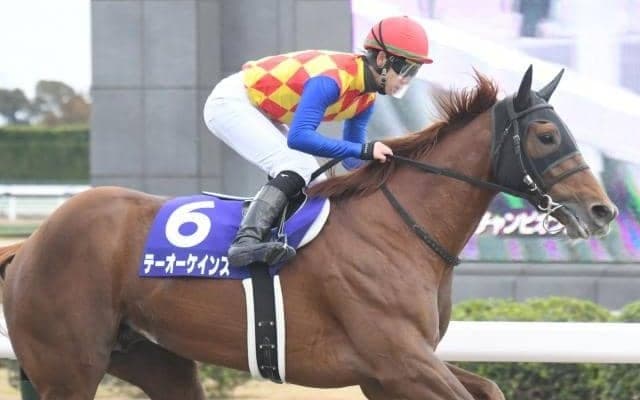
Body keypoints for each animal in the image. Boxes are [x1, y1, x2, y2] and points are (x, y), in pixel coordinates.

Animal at [0, 66, 617, 400]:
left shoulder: (396, 368)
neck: (398, 231)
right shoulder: (398, 360)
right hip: (68, 368)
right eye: (545, 135)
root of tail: (29, 242)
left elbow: (490, 386)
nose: (604, 210)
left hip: (152, 358)